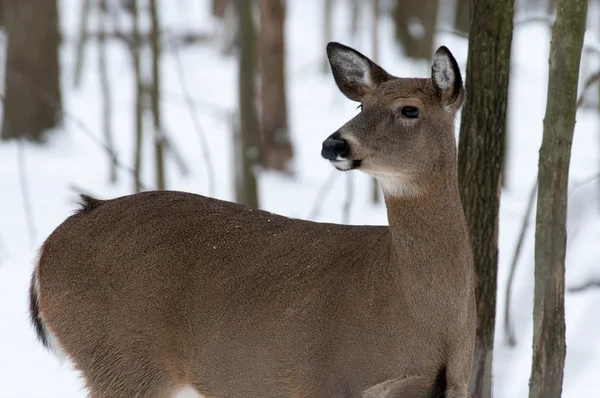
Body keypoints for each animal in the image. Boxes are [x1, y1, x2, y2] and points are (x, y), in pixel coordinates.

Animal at [30, 42, 476, 396]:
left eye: (409, 109)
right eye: (361, 105)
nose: (333, 144)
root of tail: (50, 248)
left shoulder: (456, 384)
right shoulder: (328, 378)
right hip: (120, 359)